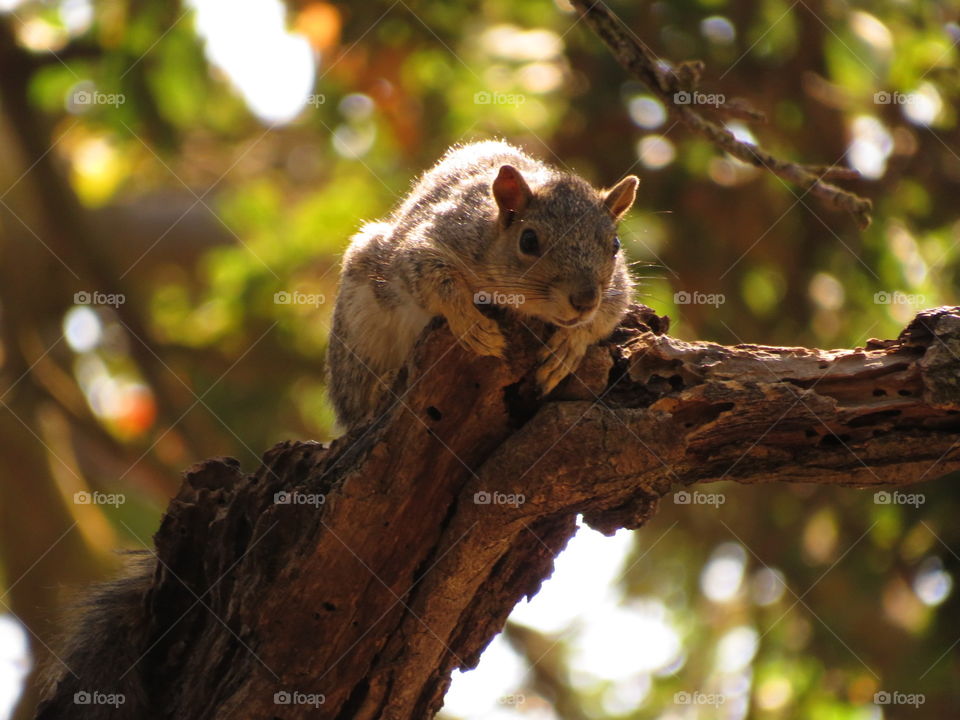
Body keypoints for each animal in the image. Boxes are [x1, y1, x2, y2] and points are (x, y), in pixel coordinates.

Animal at [328, 143, 636, 430]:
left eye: (615, 245)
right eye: (528, 241)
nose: (585, 301)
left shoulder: (616, 288)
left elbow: (608, 314)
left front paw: (567, 348)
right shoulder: (429, 243)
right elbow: (433, 279)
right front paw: (473, 324)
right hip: (359, 327)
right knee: (356, 399)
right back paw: (381, 385)